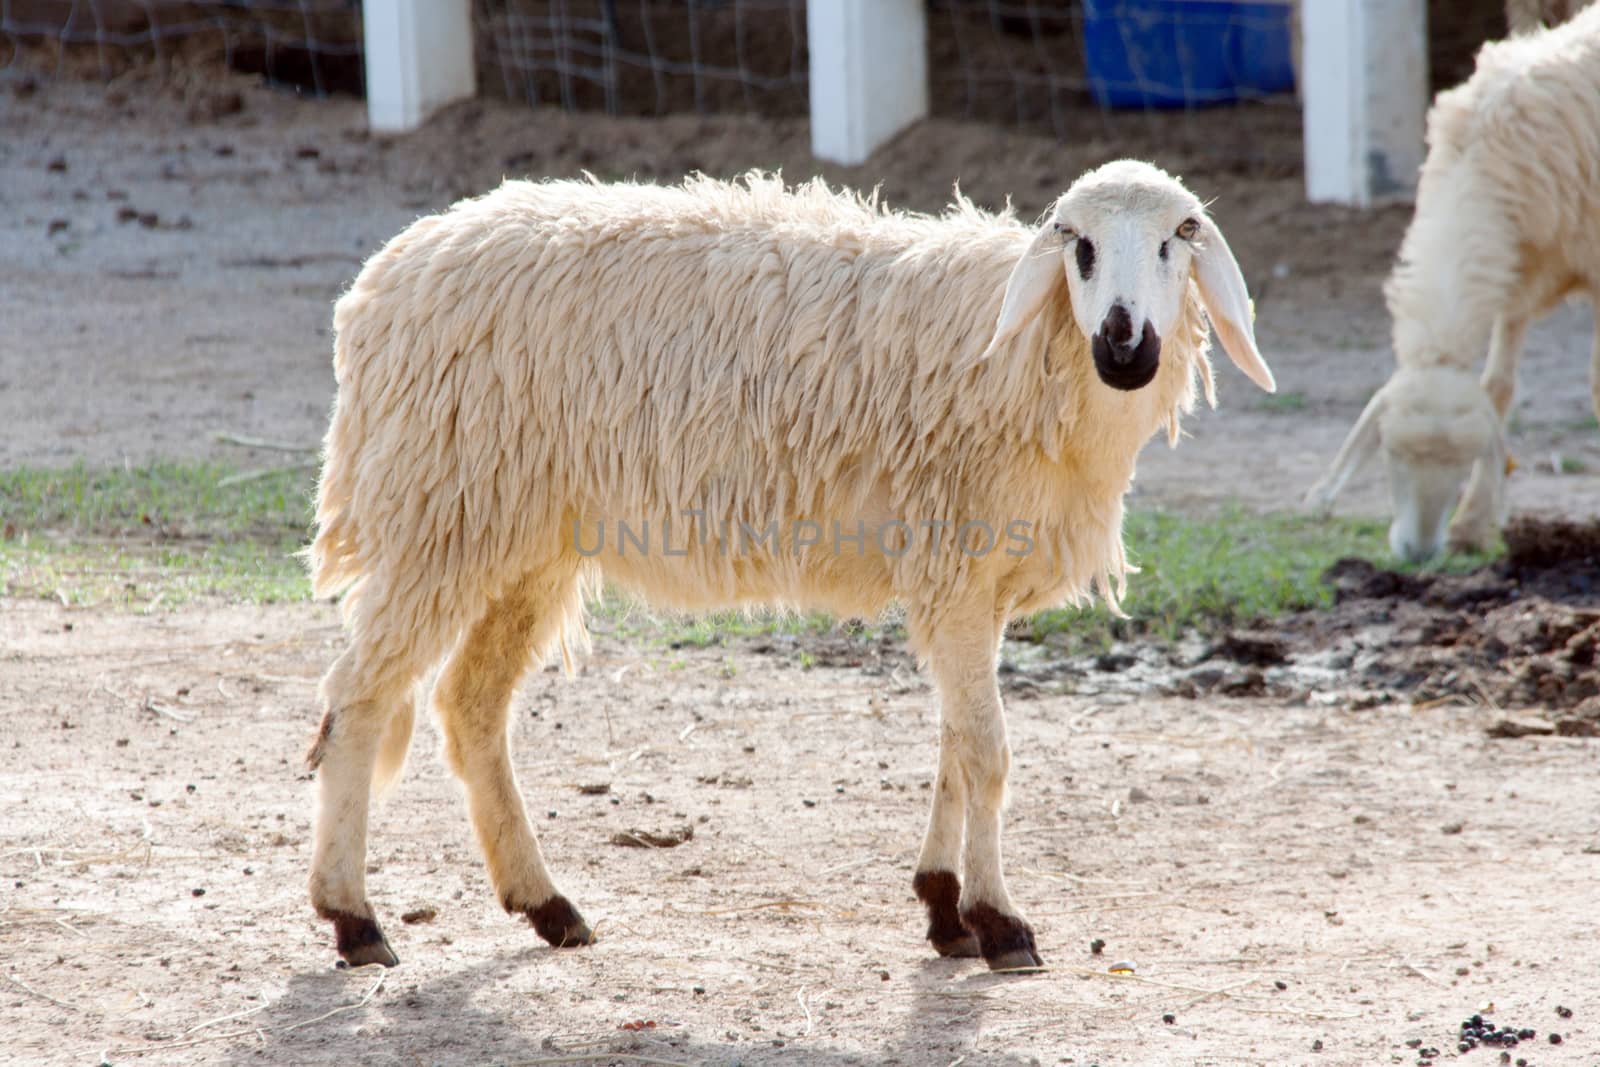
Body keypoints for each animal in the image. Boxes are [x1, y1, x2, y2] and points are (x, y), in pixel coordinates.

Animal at [302, 163, 1273, 972]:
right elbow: (989, 752)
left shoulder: (965, 578)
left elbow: (956, 747)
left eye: (1178, 236)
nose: (1124, 343)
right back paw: (355, 918)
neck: (1031, 361)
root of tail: (381, 281)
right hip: (440, 512)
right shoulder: (957, 574)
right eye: (1077, 243)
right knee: (358, 700)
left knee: (470, 705)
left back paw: (546, 904)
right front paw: (999, 921)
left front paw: (943, 906)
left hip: (521, 536)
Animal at [1305, 6, 1593, 559]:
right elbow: (1498, 387)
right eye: (1390, 453)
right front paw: (1471, 524)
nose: (1418, 552)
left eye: (1462, 462)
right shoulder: (1515, 275)